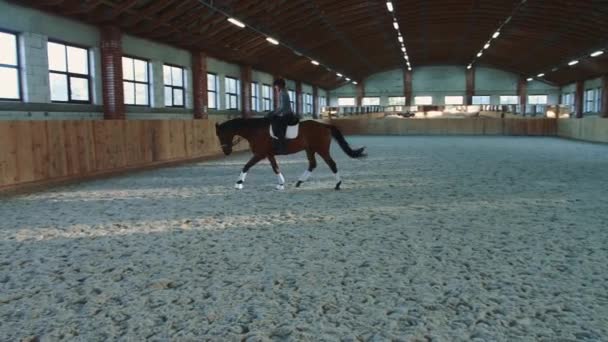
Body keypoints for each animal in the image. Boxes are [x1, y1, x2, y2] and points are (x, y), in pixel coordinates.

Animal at [214, 118, 366, 191]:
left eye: (221, 135)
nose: (226, 152)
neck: (255, 131)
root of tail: (324, 125)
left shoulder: (260, 154)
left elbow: (246, 166)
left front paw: (238, 183)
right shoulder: (268, 154)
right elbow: (275, 168)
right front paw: (281, 184)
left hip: (321, 149)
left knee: (331, 164)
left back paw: (338, 184)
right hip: (310, 149)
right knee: (312, 164)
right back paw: (299, 182)